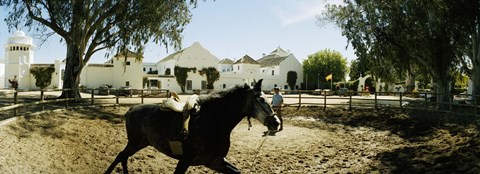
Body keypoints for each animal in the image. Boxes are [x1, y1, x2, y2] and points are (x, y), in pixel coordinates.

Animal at [103, 79, 280, 173]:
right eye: (261, 99)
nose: (276, 123)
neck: (213, 122)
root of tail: (131, 109)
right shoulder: (185, 160)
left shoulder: (215, 161)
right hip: (135, 143)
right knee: (121, 156)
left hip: (139, 143)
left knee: (123, 157)